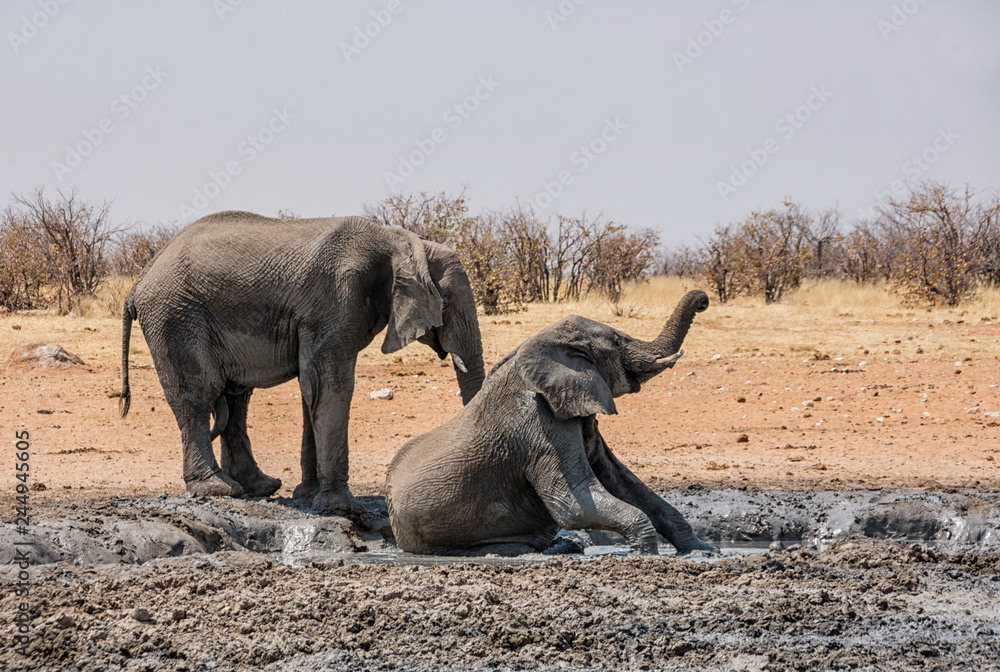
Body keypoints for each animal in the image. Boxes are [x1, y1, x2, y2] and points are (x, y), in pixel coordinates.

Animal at [119, 211, 485, 522]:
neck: (399, 240)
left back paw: (260, 487)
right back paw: (218, 488)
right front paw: (343, 509)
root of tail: (138, 282)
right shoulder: (336, 300)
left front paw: (308, 496)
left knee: (237, 399)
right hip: (174, 317)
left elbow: (313, 389)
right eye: (445, 305)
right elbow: (329, 384)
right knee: (198, 396)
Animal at [385, 289, 716, 555]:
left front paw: (702, 551)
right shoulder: (540, 426)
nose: (703, 300)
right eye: (618, 342)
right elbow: (573, 504)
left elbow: (625, 482)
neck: (540, 345)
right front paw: (645, 554)